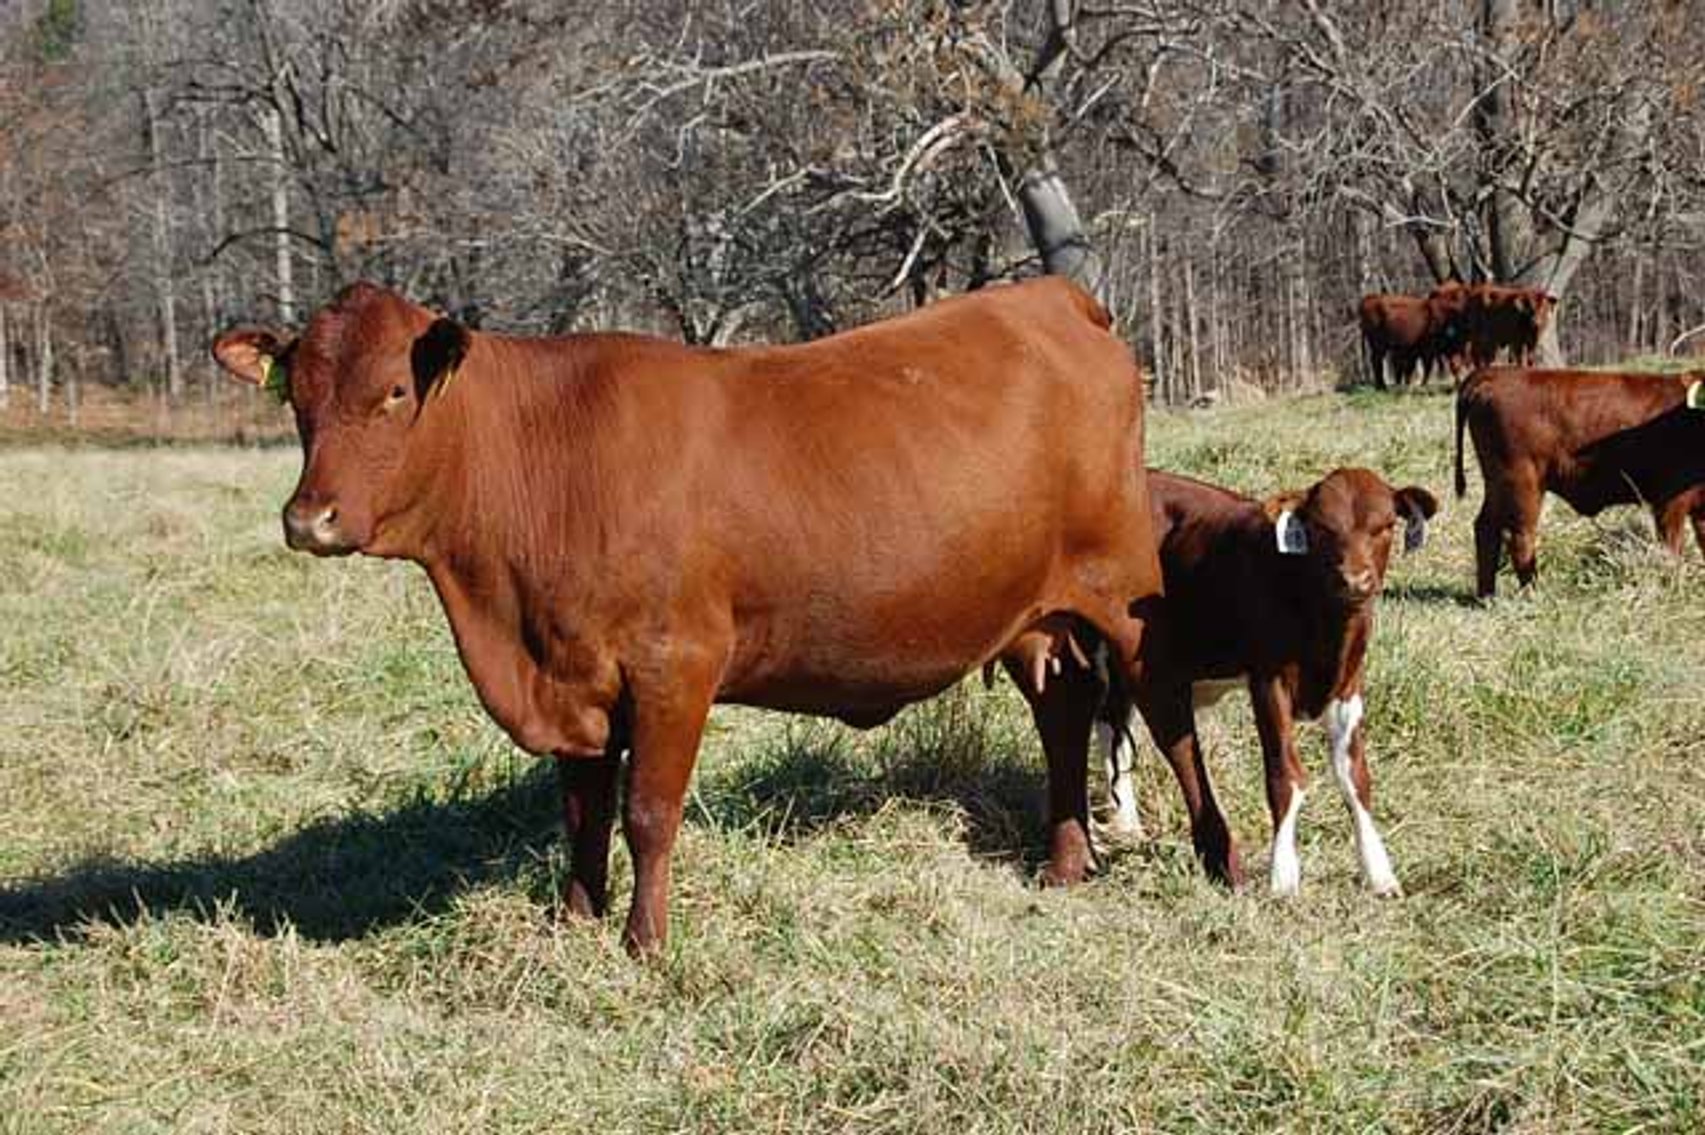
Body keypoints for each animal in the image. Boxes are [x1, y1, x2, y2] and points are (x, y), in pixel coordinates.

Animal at [211, 278, 1163, 954]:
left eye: (394, 394)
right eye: (296, 397)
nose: (309, 518)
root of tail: (1052, 296)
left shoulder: (675, 665)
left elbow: (646, 812)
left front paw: (645, 944)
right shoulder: (577, 680)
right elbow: (583, 812)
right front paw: (574, 921)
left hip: (1122, 596)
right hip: (1035, 618)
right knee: (1062, 718)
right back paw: (1064, 866)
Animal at [1094, 468, 1438, 896]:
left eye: (1386, 526)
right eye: (1321, 528)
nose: (1354, 580)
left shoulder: (1348, 686)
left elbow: (1355, 778)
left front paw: (1379, 872)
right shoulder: (1269, 683)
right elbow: (1285, 776)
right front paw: (1283, 876)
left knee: (1115, 726)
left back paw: (1125, 823)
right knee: (1108, 724)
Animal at [1454, 366, 1705, 598]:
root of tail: (1499, 372)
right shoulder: (1669, 504)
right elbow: (1671, 551)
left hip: (1498, 484)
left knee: (1486, 528)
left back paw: (1486, 596)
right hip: (1521, 483)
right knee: (1520, 537)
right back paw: (1533, 594)